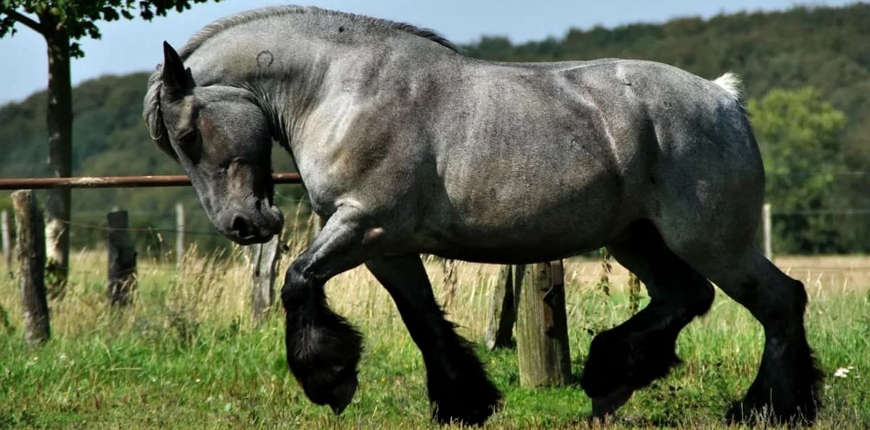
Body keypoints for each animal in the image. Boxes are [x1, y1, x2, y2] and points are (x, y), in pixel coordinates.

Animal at [145, 6, 824, 426]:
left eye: (190, 134)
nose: (244, 227)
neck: (341, 87)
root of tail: (723, 99)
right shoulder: (386, 245)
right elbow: (422, 319)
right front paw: (464, 402)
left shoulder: (363, 226)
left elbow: (296, 281)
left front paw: (330, 381)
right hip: (637, 240)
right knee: (686, 297)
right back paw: (609, 379)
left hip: (710, 239)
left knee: (779, 300)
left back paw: (771, 407)